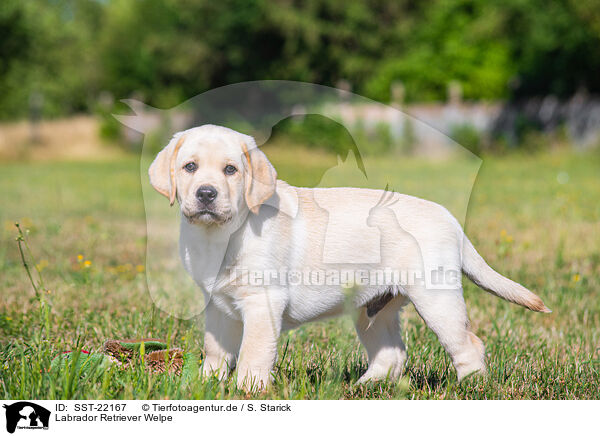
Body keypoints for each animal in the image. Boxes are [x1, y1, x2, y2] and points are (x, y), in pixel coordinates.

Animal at [149, 124, 548, 390]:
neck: (219, 235)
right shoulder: (216, 304)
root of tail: (450, 218)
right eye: (189, 167)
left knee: (469, 344)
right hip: (373, 309)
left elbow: (253, 352)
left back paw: (470, 388)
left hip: (437, 300)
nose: (206, 193)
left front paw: (246, 391)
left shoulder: (263, 303)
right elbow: (215, 350)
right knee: (392, 354)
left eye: (230, 170)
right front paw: (202, 385)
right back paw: (362, 387)